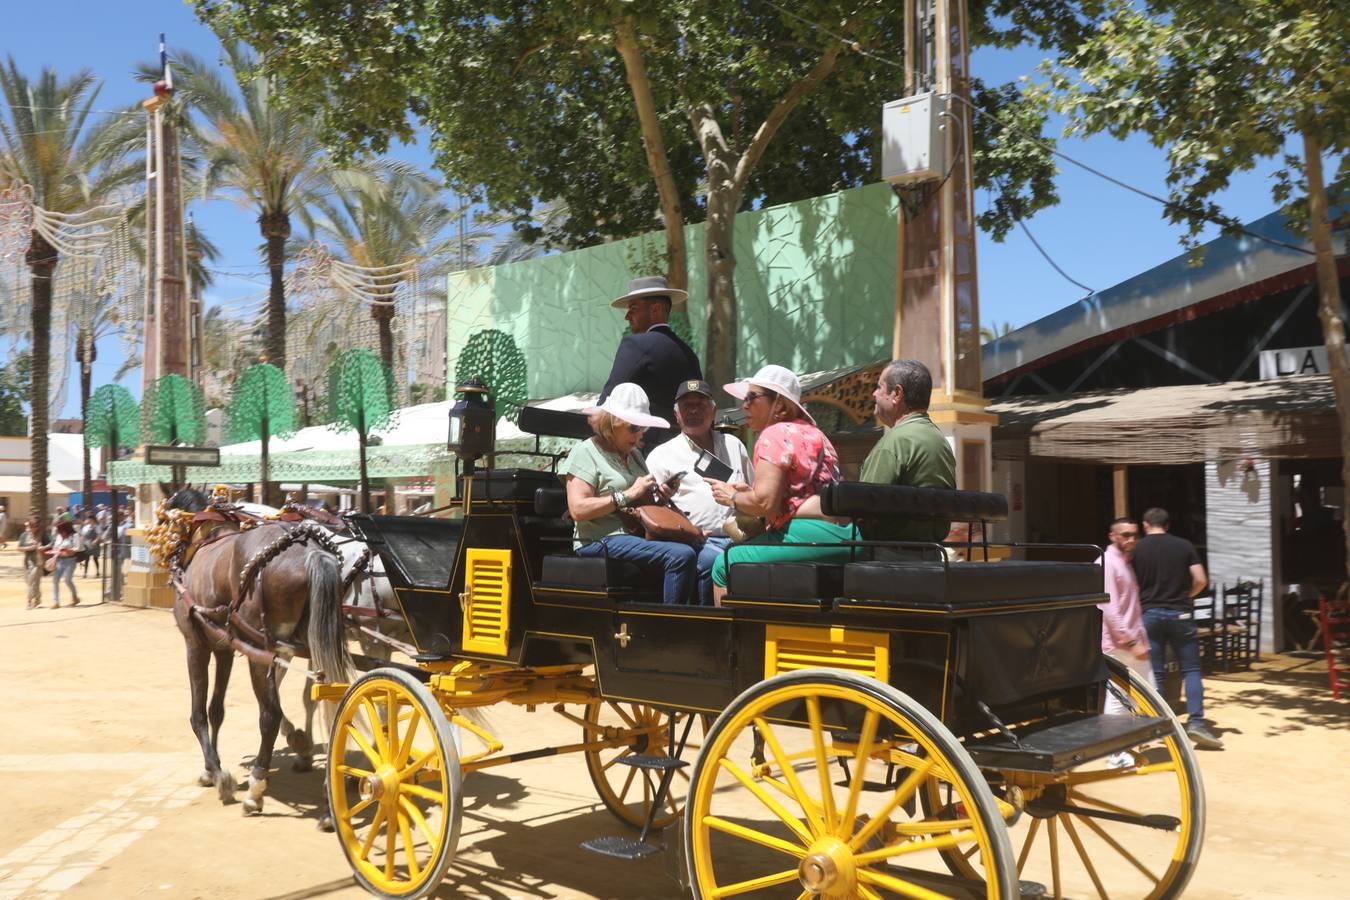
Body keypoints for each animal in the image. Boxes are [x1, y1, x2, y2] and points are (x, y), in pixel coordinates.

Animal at [164, 488, 351, 820]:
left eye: (166, 517)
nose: (166, 555)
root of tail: (310, 553)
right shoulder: (224, 649)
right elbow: (217, 710)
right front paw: (210, 769)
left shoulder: (195, 645)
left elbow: (198, 713)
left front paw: (218, 775)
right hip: (315, 642)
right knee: (335, 704)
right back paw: (330, 801)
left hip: (262, 650)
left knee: (270, 716)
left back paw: (256, 789)